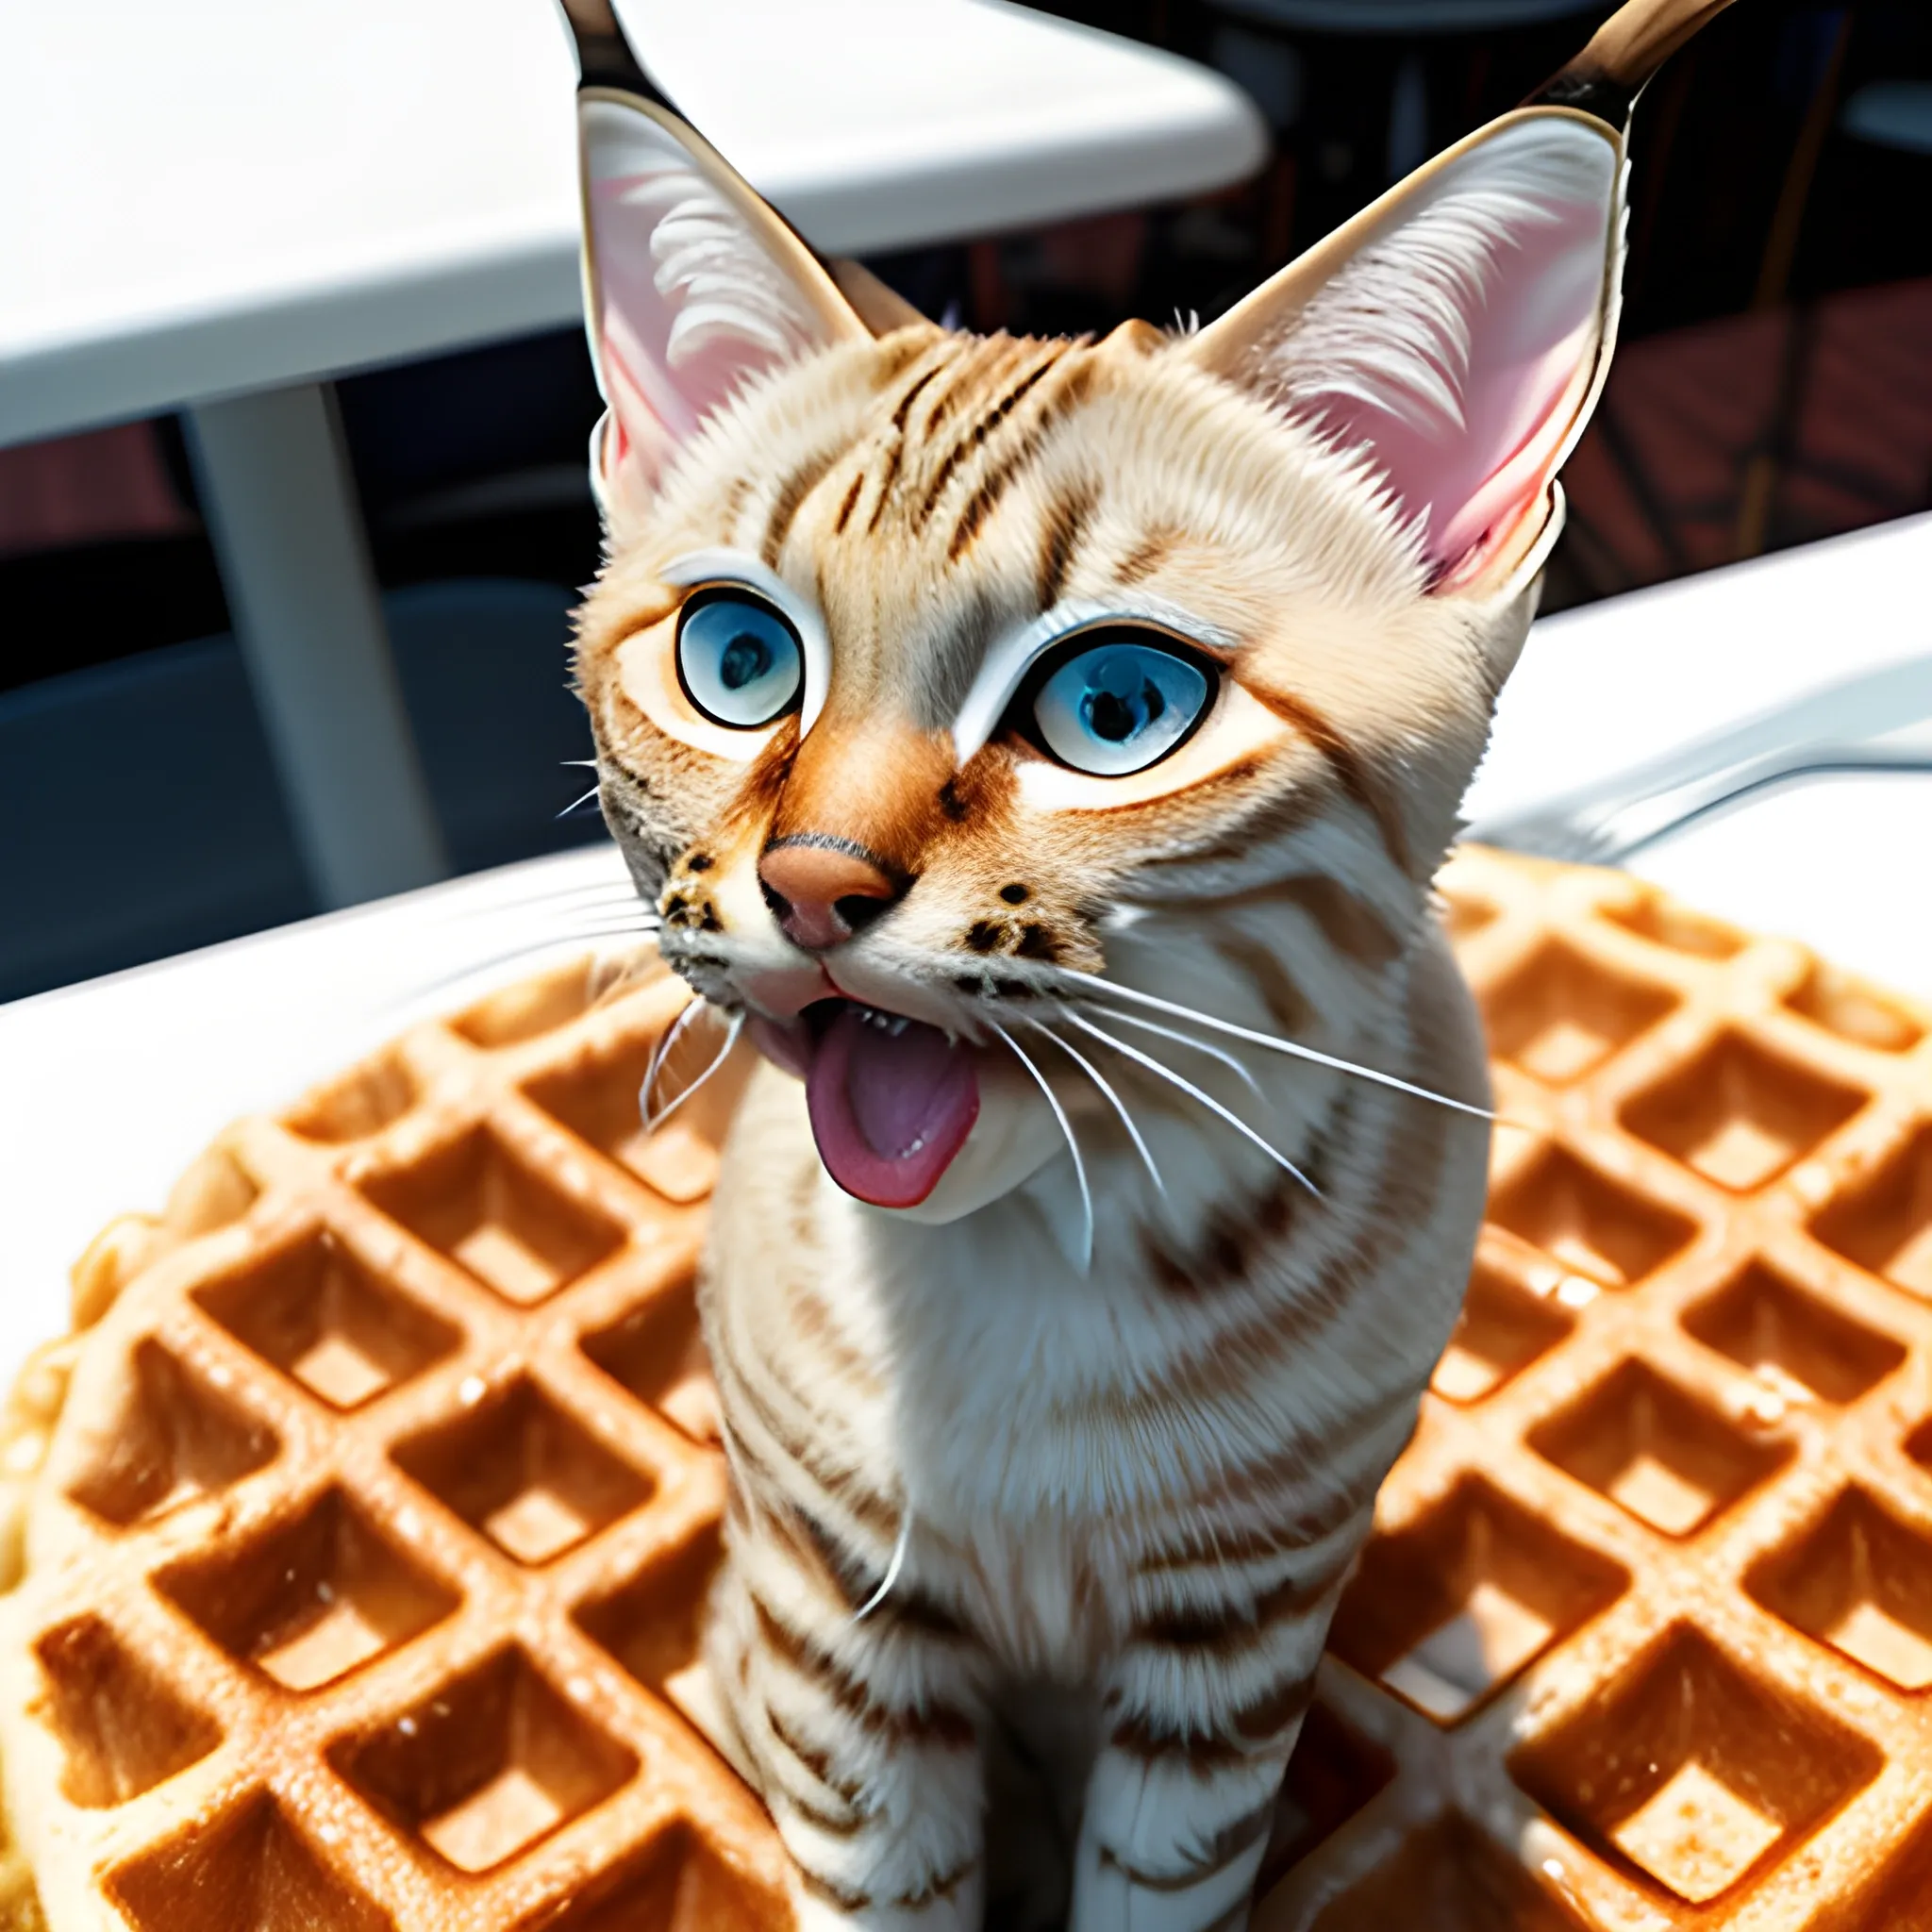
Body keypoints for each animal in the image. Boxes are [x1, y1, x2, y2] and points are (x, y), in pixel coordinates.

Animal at [552, 0, 1731, 1924]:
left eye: (1116, 710)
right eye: (737, 661)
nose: (808, 885)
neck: (1045, 1254)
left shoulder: (1237, 1626)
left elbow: (1163, 1881)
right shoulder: (830, 1623)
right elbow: (883, 1884)